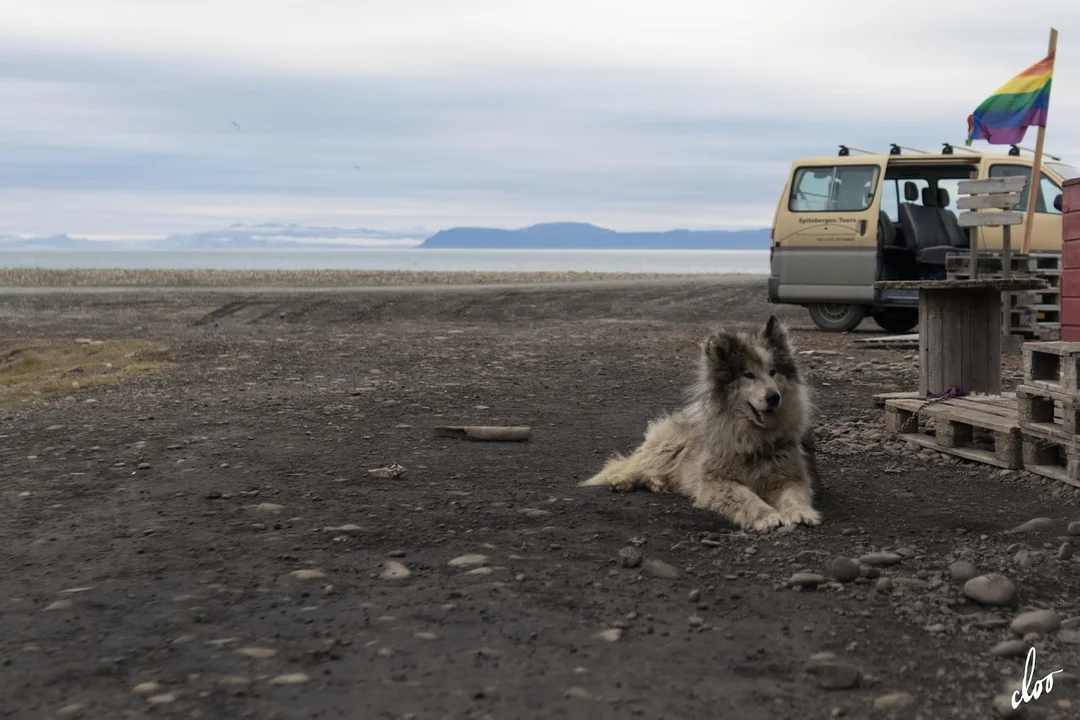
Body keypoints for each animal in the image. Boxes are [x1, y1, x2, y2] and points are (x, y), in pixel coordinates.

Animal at [583, 317, 816, 535]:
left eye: (773, 372)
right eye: (748, 375)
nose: (773, 397)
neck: (753, 438)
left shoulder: (790, 477)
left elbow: (794, 496)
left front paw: (800, 513)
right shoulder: (716, 482)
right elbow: (746, 496)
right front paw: (766, 516)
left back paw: (658, 483)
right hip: (666, 448)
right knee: (634, 464)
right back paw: (622, 479)